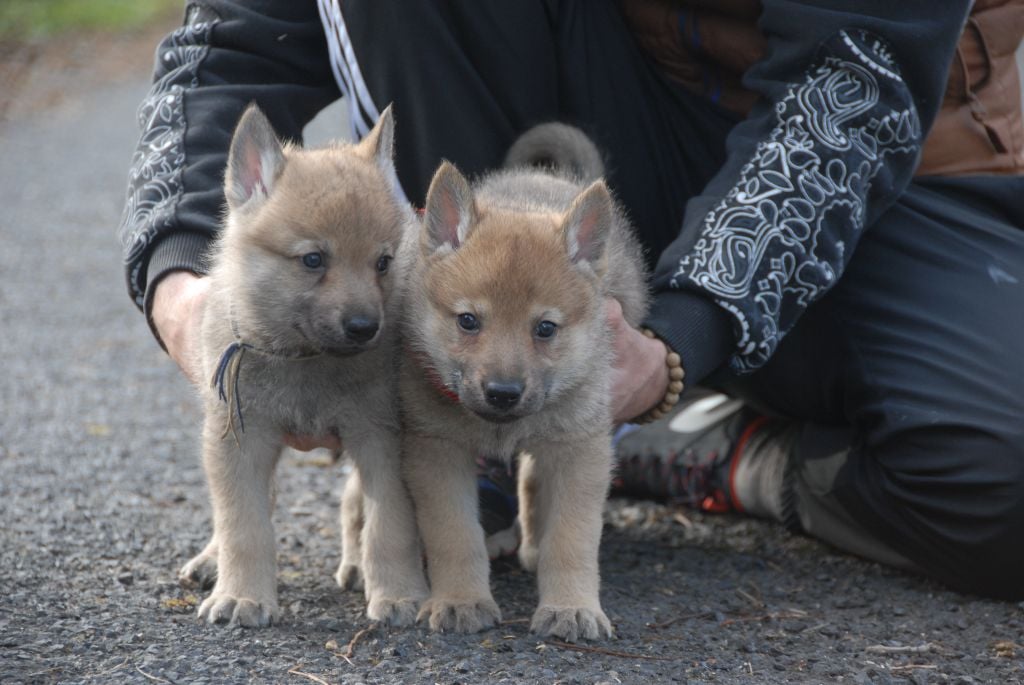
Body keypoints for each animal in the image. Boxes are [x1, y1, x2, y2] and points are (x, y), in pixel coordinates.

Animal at [178, 105, 425, 626]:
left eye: (383, 262)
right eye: (313, 259)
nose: (364, 327)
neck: (307, 362)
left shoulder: (381, 440)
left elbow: (388, 526)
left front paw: (398, 594)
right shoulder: (239, 441)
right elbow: (243, 525)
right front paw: (243, 596)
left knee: (352, 504)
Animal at [399, 126, 647, 643]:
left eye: (545, 328)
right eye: (468, 321)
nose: (503, 393)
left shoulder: (581, 449)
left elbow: (572, 540)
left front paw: (571, 608)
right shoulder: (435, 450)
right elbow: (455, 534)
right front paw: (460, 600)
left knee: (533, 482)